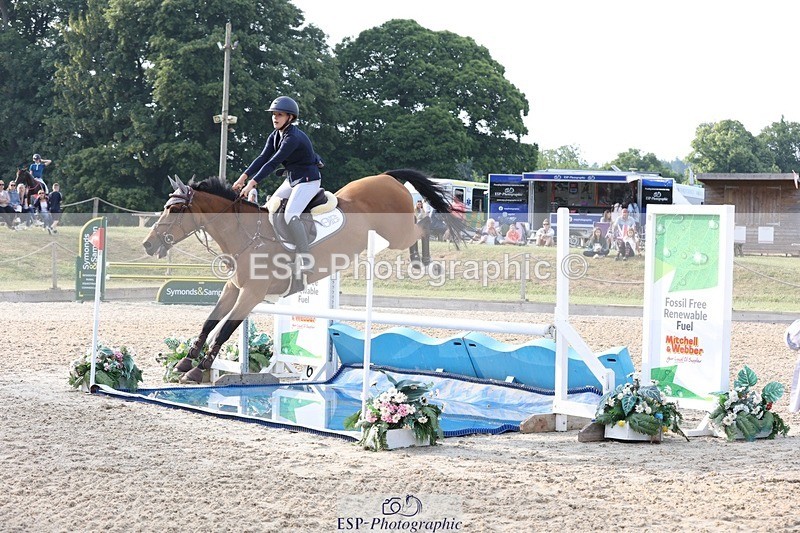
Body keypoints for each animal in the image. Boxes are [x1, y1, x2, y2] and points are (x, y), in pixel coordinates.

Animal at [142, 169, 467, 383]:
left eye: (174, 210)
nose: (149, 244)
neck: (244, 234)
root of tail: (387, 177)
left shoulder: (251, 294)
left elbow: (225, 329)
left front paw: (198, 370)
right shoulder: (233, 289)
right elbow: (210, 322)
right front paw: (186, 361)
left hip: (398, 232)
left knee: (424, 225)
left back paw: (425, 263)